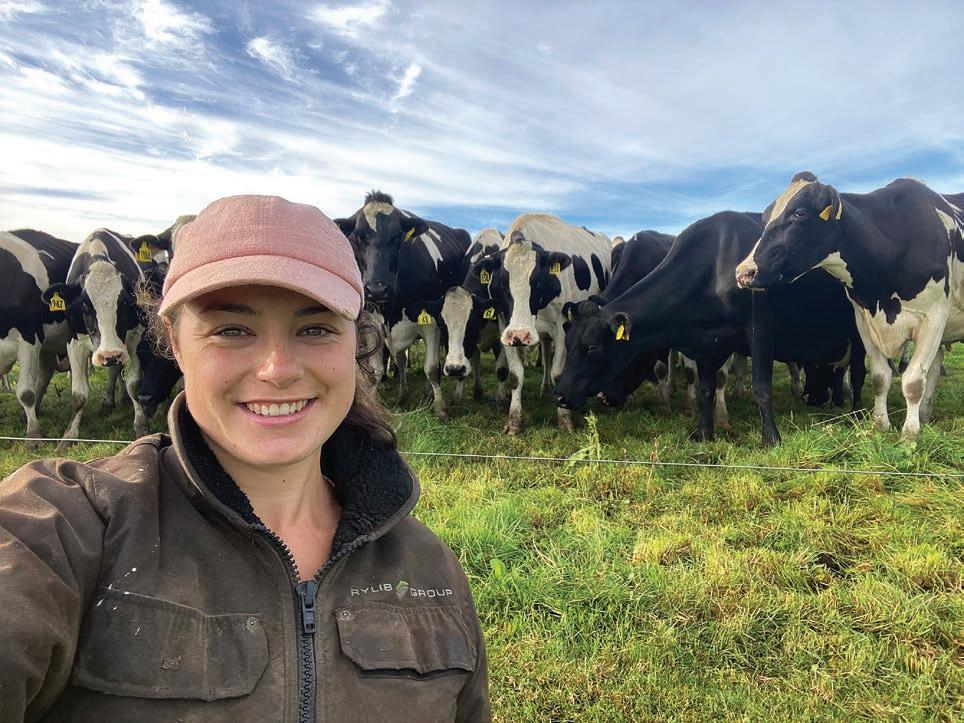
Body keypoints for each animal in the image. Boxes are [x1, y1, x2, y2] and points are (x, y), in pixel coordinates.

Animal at [41, 229, 150, 447]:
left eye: (124, 302)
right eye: (84, 305)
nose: (109, 354)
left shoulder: (135, 338)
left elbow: (134, 384)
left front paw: (141, 426)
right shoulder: (74, 343)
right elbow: (79, 394)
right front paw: (68, 437)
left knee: (116, 371)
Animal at [335, 192, 471, 419]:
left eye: (397, 237)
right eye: (359, 236)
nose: (377, 288)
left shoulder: (430, 321)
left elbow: (431, 368)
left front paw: (440, 407)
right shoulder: (372, 322)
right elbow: (376, 372)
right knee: (399, 358)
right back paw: (403, 395)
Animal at [473, 214, 612, 434]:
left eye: (538, 281)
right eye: (502, 283)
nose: (521, 335)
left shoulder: (563, 327)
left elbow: (558, 373)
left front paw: (564, 419)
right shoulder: (506, 326)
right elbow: (516, 375)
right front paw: (514, 420)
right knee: (546, 353)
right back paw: (545, 387)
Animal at [555, 210, 865, 446]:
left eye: (592, 346)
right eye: (568, 343)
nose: (560, 395)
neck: (714, 267)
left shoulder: (761, 327)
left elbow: (760, 387)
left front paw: (770, 438)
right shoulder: (704, 342)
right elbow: (705, 388)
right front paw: (703, 432)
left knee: (857, 372)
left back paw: (856, 412)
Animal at [736, 173, 962, 440]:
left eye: (800, 212)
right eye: (766, 216)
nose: (744, 272)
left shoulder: (934, 317)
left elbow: (913, 381)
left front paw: (909, 434)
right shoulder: (863, 322)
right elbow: (879, 377)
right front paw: (880, 424)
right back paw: (925, 413)